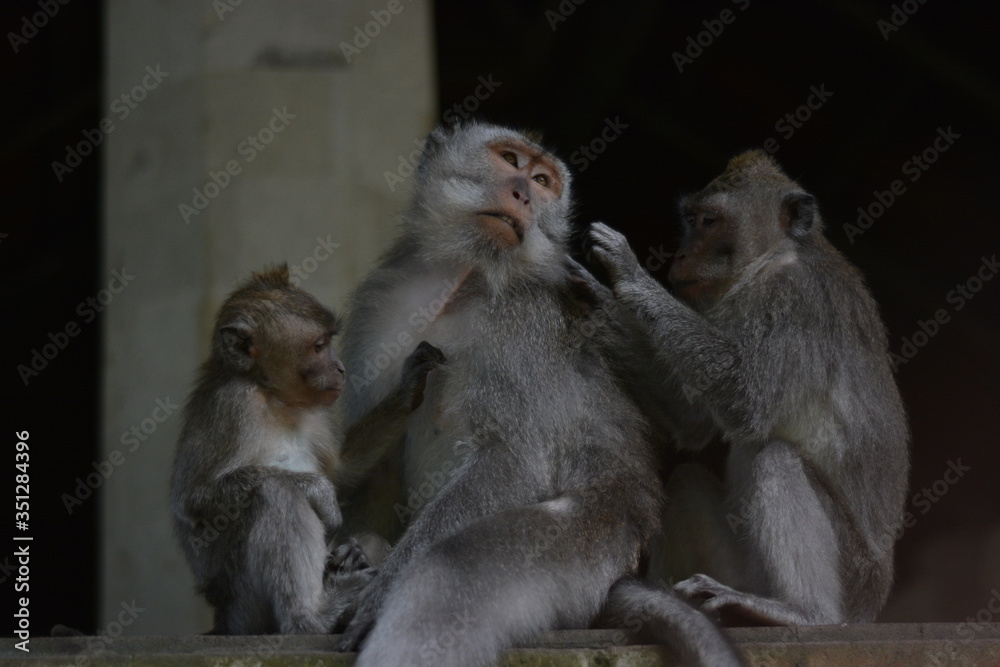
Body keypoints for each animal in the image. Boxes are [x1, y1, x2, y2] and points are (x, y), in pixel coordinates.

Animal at [170, 265, 444, 635]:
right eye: (319, 345)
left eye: (328, 340)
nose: (340, 367)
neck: (273, 397)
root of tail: (222, 620)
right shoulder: (232, 403)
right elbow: (192, 498)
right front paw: (319, 492)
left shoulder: (316, 414)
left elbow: (342, 471)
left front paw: (407, 388)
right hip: (245, 608)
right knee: (274, 493)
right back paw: (311, 617)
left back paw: (355, 559)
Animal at [333, 122, 742, 666]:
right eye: (510, 159)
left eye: (544, 181)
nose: (524, 194)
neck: (463, 281)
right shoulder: (383, 304)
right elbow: (373, 463)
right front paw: (358, 548)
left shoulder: (523, 322)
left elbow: (515, 458)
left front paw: (375, 594)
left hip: (586, 545)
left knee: (450, 572)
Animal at [585, 149, 910, 626]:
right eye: (690, 220)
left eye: (709, 221)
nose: (681, 254)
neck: (773, 257)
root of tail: (875, 601)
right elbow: (694, 422)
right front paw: (588, 296)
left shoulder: (792, 300)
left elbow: (745, 401)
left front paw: (628, 276)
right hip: (745, 569)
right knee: (686, 480)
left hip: (852, 581)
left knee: (777, 458)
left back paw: (802, 611)